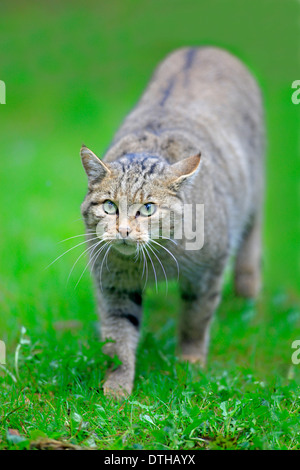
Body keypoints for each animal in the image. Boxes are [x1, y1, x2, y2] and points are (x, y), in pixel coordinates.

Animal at [80, 46, 264, 396]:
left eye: (148, 209)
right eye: (110, 206)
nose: (124, 230)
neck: (153, 259)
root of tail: (202, 47)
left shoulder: (208, 271)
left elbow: (196, 318)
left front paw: (189, 363)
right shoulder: (112, 281)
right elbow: (117, 337)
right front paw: (117, 386)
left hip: (253, 197)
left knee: (251, 235)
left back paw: (248, 290)